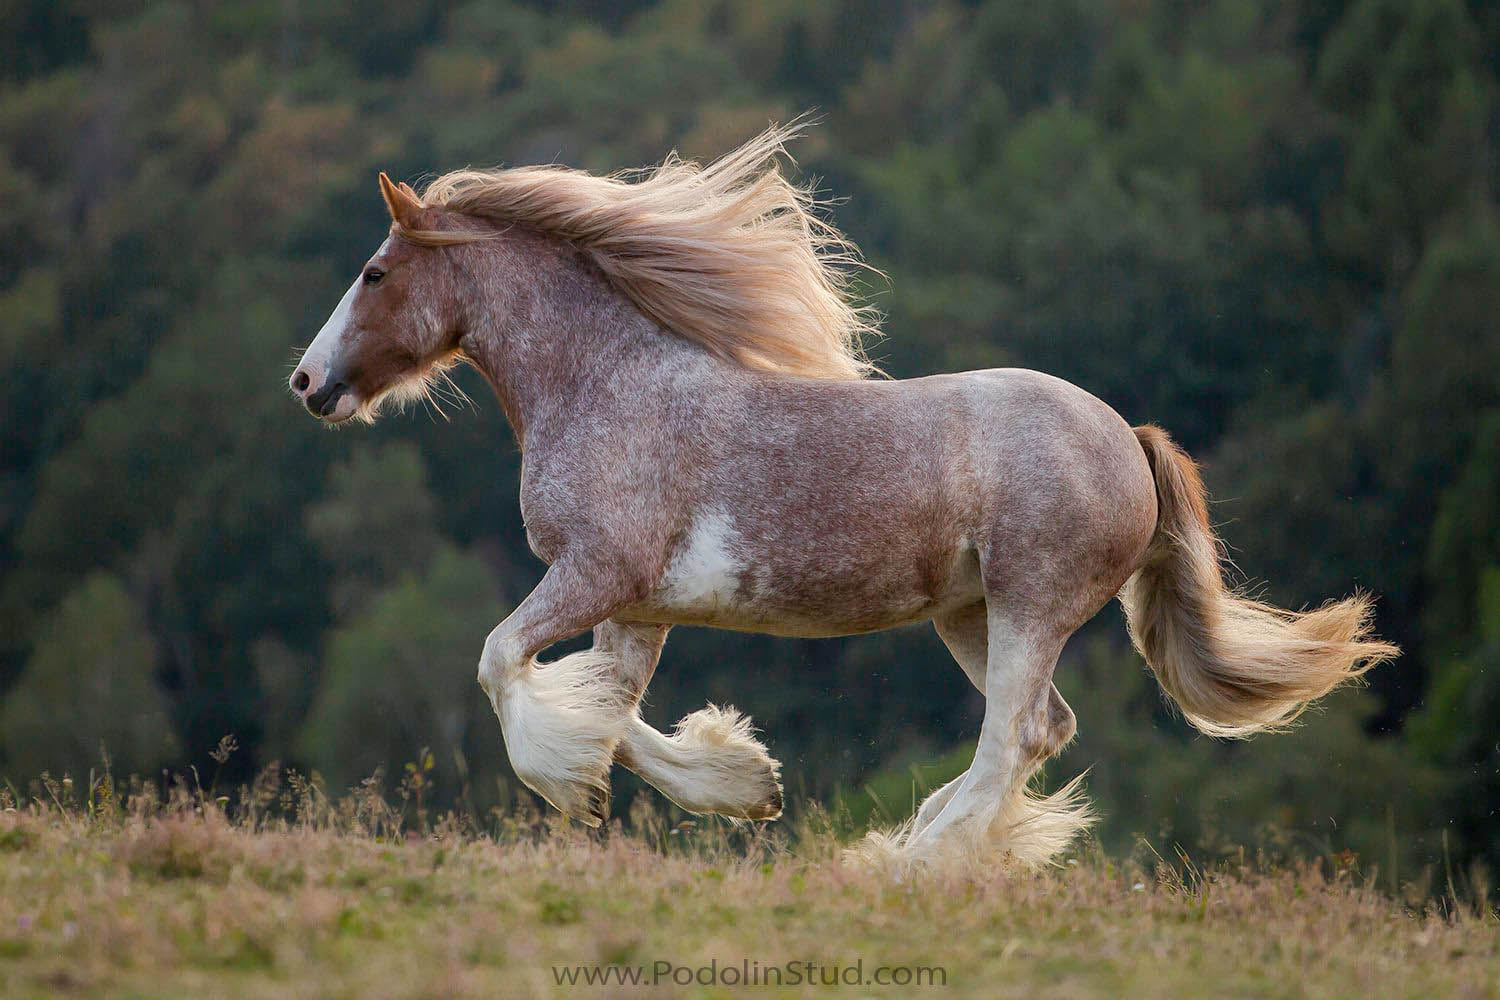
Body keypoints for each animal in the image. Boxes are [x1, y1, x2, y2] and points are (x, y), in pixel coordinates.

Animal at [286, 125, 1398, 869]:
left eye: (375, 271)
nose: (307, 382)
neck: (610, 384)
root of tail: (1128, 436)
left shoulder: (597, 571)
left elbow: (499, 662)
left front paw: (571, 783)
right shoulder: (635, 605)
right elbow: (613, 708)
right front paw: (745, 788)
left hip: (1031, 602)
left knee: (1012, 735)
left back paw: (902, 866)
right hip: (969, 613)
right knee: (1041, 731)